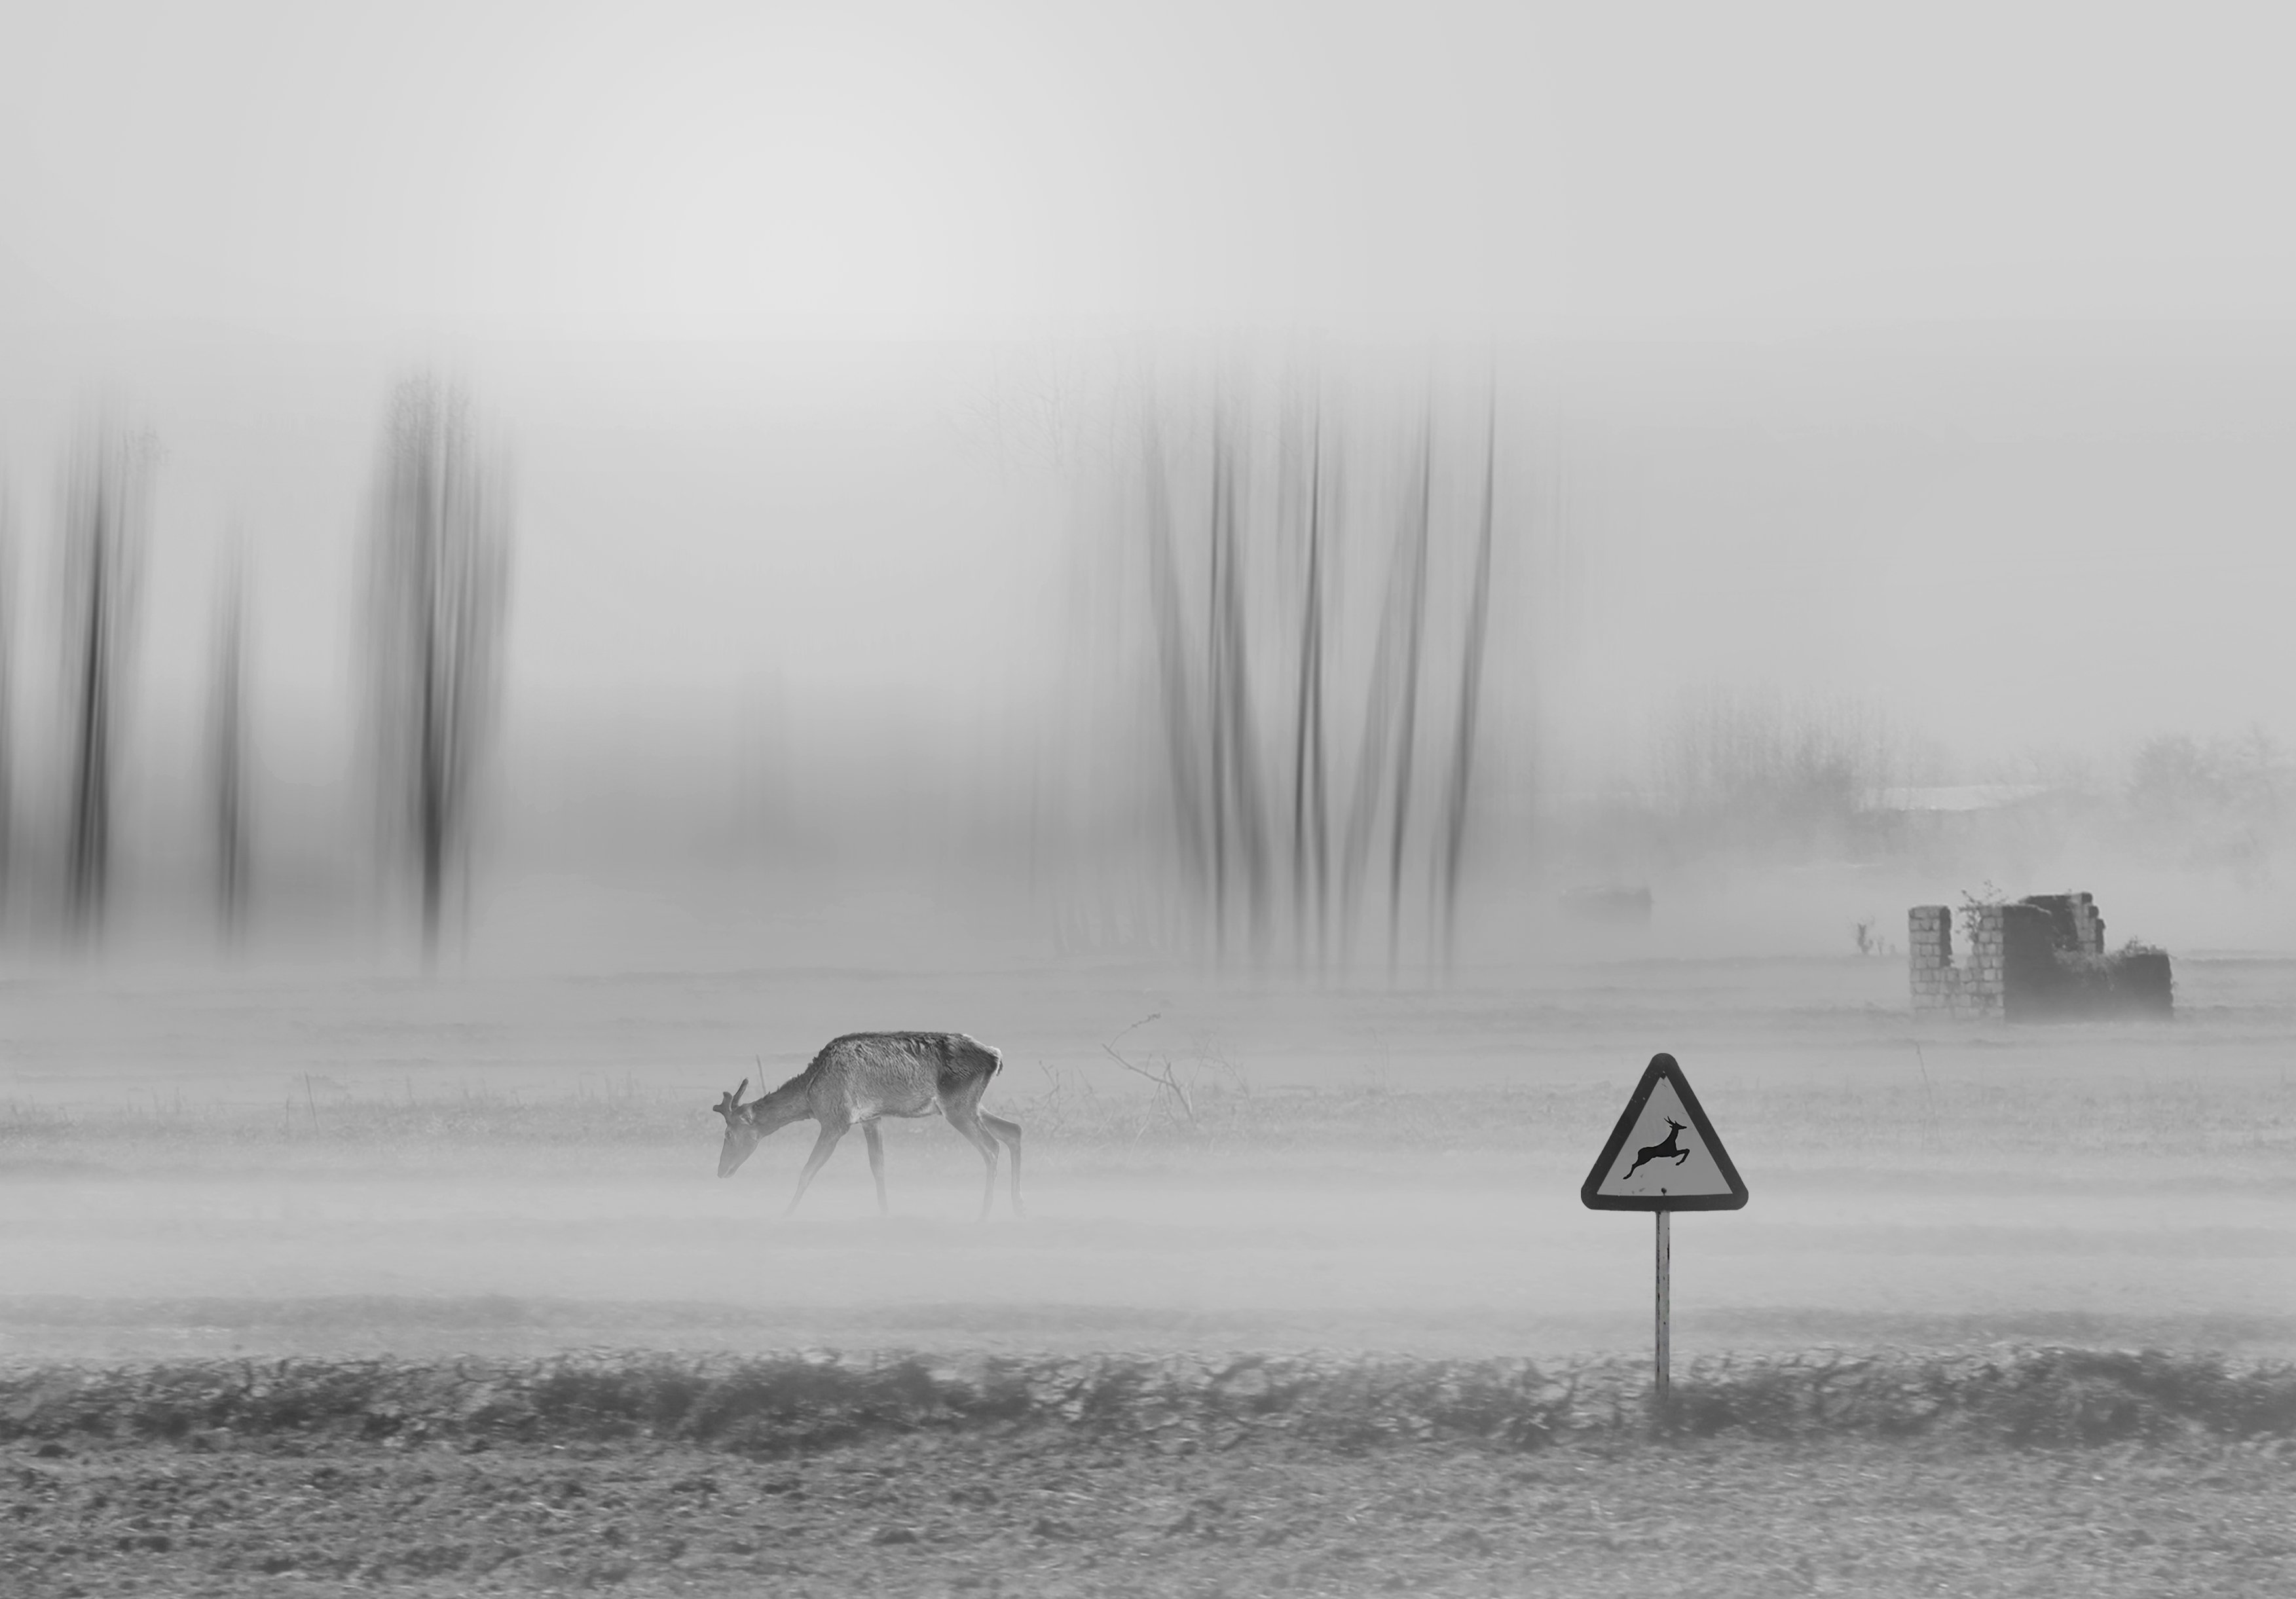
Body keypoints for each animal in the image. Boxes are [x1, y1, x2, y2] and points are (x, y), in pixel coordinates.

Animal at [702, 1027, 1019, 1220]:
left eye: (728, 1134)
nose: (721, 1171)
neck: (810, 1095)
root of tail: (996, 1057)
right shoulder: (871, 1119)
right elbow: (878, 1168)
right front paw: (885, 1214)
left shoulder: (836, 1122)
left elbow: (807, 1171)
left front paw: (786, 1214)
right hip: (971, 1106)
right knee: (1013, 1131)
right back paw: (1019, 1209)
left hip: (958, 1108)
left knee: (992, 1147)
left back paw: (984, 1215)